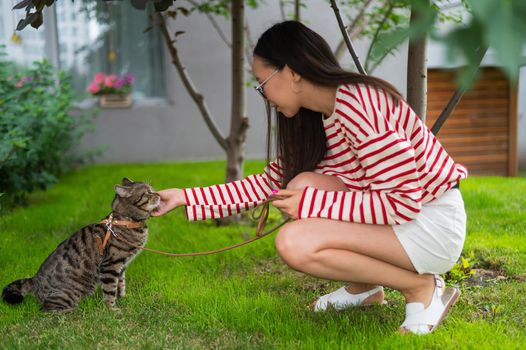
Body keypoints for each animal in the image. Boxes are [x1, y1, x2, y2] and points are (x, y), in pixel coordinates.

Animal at [1, 179, 161, 310]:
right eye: (148, 192)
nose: (159, 194)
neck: (125, 220)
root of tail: (34, 279)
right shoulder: (110, 265)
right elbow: (110, 290)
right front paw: (113, 309)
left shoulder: (121, 266)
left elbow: (120, 284)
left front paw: (123, 298)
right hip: (67, 294)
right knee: (47, 310)